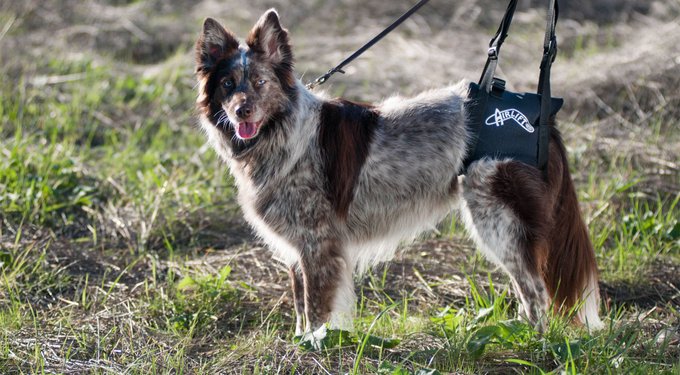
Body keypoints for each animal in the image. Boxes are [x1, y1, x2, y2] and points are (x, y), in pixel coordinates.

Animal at [194, 8, 604, 346]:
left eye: (260, 83)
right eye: (228, 84)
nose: (242, 111)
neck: (282, 133)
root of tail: (545, 117)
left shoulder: (318, 245)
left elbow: (315, 309)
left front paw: (312, 348)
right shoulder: (298, 249)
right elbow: (299, 304)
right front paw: (299, 342)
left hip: (498, 220)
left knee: (536, 290)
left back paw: (532, 343)